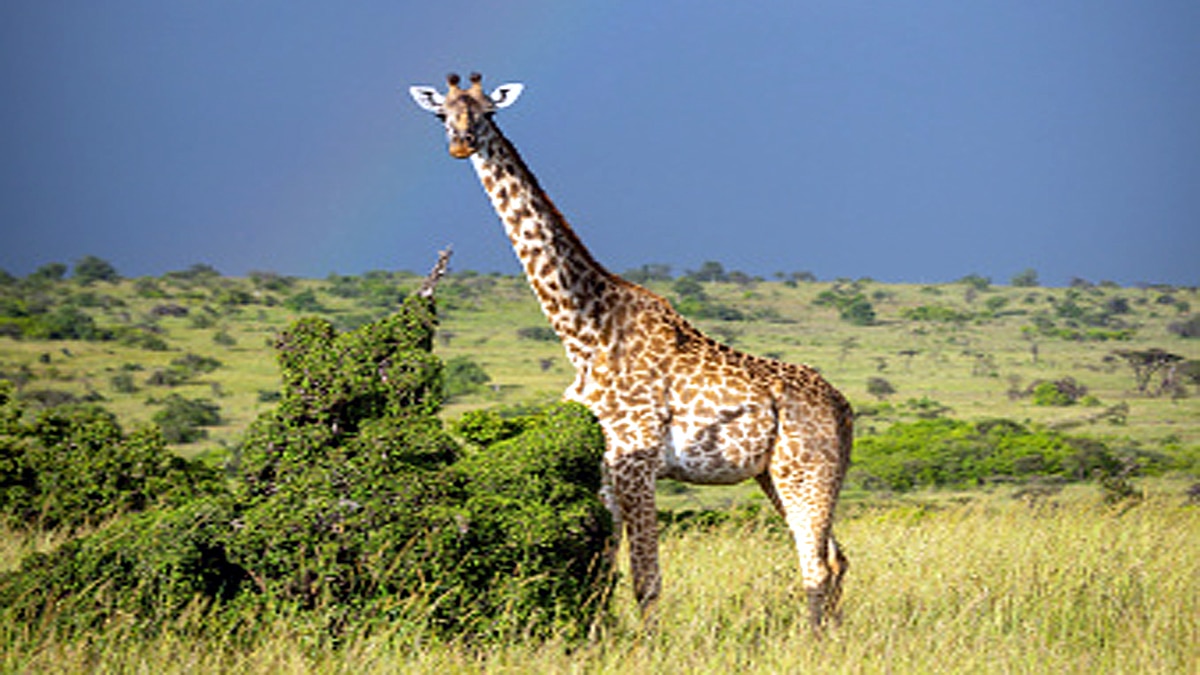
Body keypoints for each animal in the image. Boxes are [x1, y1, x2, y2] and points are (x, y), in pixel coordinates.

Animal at [409, 73, 853, 630]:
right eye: (441, 114)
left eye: (488, 112)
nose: (461, 143)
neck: (584, 334)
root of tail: (844, 407)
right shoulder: (601, 465)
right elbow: (601, 573)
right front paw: (599, 637)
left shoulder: (636, 460)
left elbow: (646, 578)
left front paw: (648, 643)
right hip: (779, 475)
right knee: (836, 558)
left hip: (804, 470)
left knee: (816, 565)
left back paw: (813, 640)